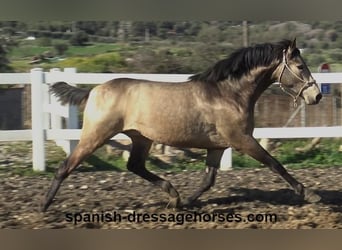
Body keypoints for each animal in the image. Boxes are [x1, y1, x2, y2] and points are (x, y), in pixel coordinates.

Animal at [41, 39, 322, 211]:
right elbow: (275, 164)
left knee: (135, 166)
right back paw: (44, 205)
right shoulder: (242, 140)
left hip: (141, 138)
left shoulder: (218, 146)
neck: (228, 94)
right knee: (66, 166)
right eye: (300, 66)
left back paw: (173, 195)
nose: (316, 95)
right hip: (96, 134)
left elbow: (208, 179)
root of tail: (94, 90)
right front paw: (309, 193)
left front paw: (185, 202)